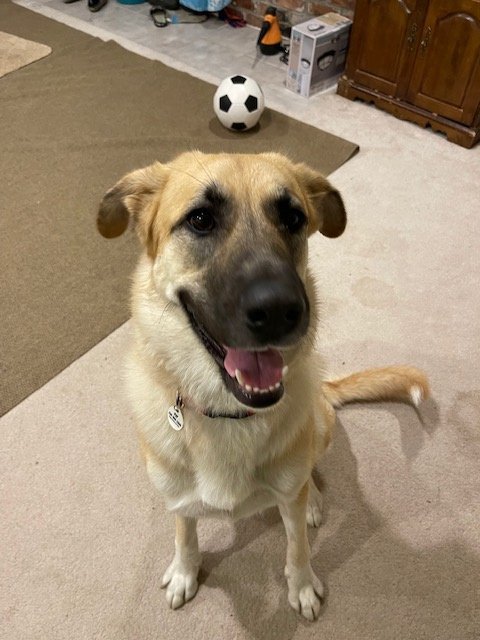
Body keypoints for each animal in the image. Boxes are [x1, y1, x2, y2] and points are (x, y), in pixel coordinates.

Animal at [96, 150, 428, 620]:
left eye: (293, 217)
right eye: (200, 219)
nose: (278, 311)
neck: (228, 413)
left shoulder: (290, 498)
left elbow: (297, 545)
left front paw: (302, 584)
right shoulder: (178, 498)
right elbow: (184, 532)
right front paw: (184, 571)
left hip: (319, 428)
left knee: (309, 475)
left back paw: (315, 499)